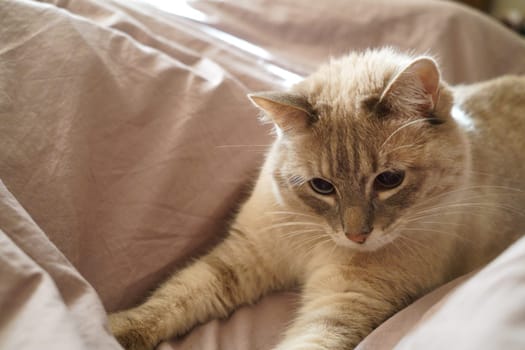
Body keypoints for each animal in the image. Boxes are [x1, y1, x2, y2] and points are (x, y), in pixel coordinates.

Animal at [106, 48, 524, 350]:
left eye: (389, 180)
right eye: (322, 186)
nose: (356, 236)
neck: (318, 242)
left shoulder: (344, 303)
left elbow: (311, 340)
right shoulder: (246, 256)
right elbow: (174, 299)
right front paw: (110, 329)